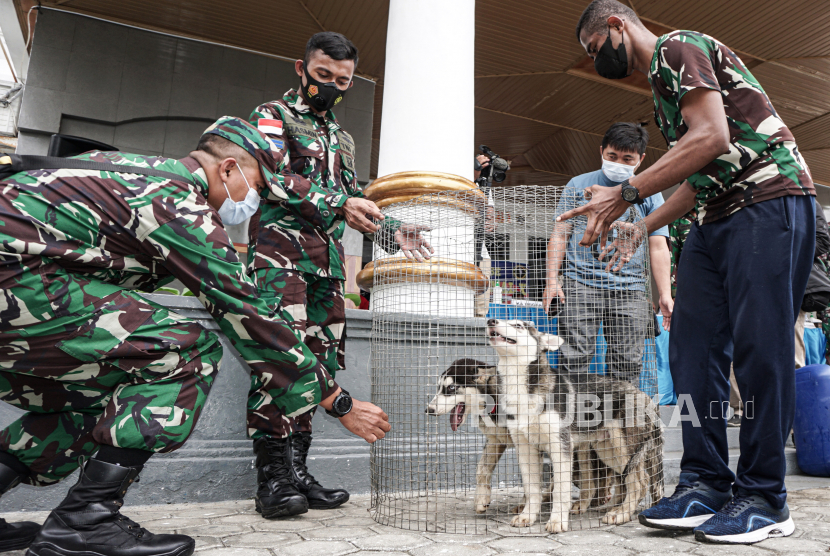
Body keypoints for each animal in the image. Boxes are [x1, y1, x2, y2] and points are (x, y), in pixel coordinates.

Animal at [490, 322, 668, 528]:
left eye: (519, 325)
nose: (490, 321)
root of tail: (647, 397)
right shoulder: (525, 449)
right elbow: (532, 489)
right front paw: (527, 516)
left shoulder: (561, 447)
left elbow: (560, 491)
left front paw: (557, 521)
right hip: (607, 451)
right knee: (628, 482)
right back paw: (613, 508)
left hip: (625, 450)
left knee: (640, 483)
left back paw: (621, 514)